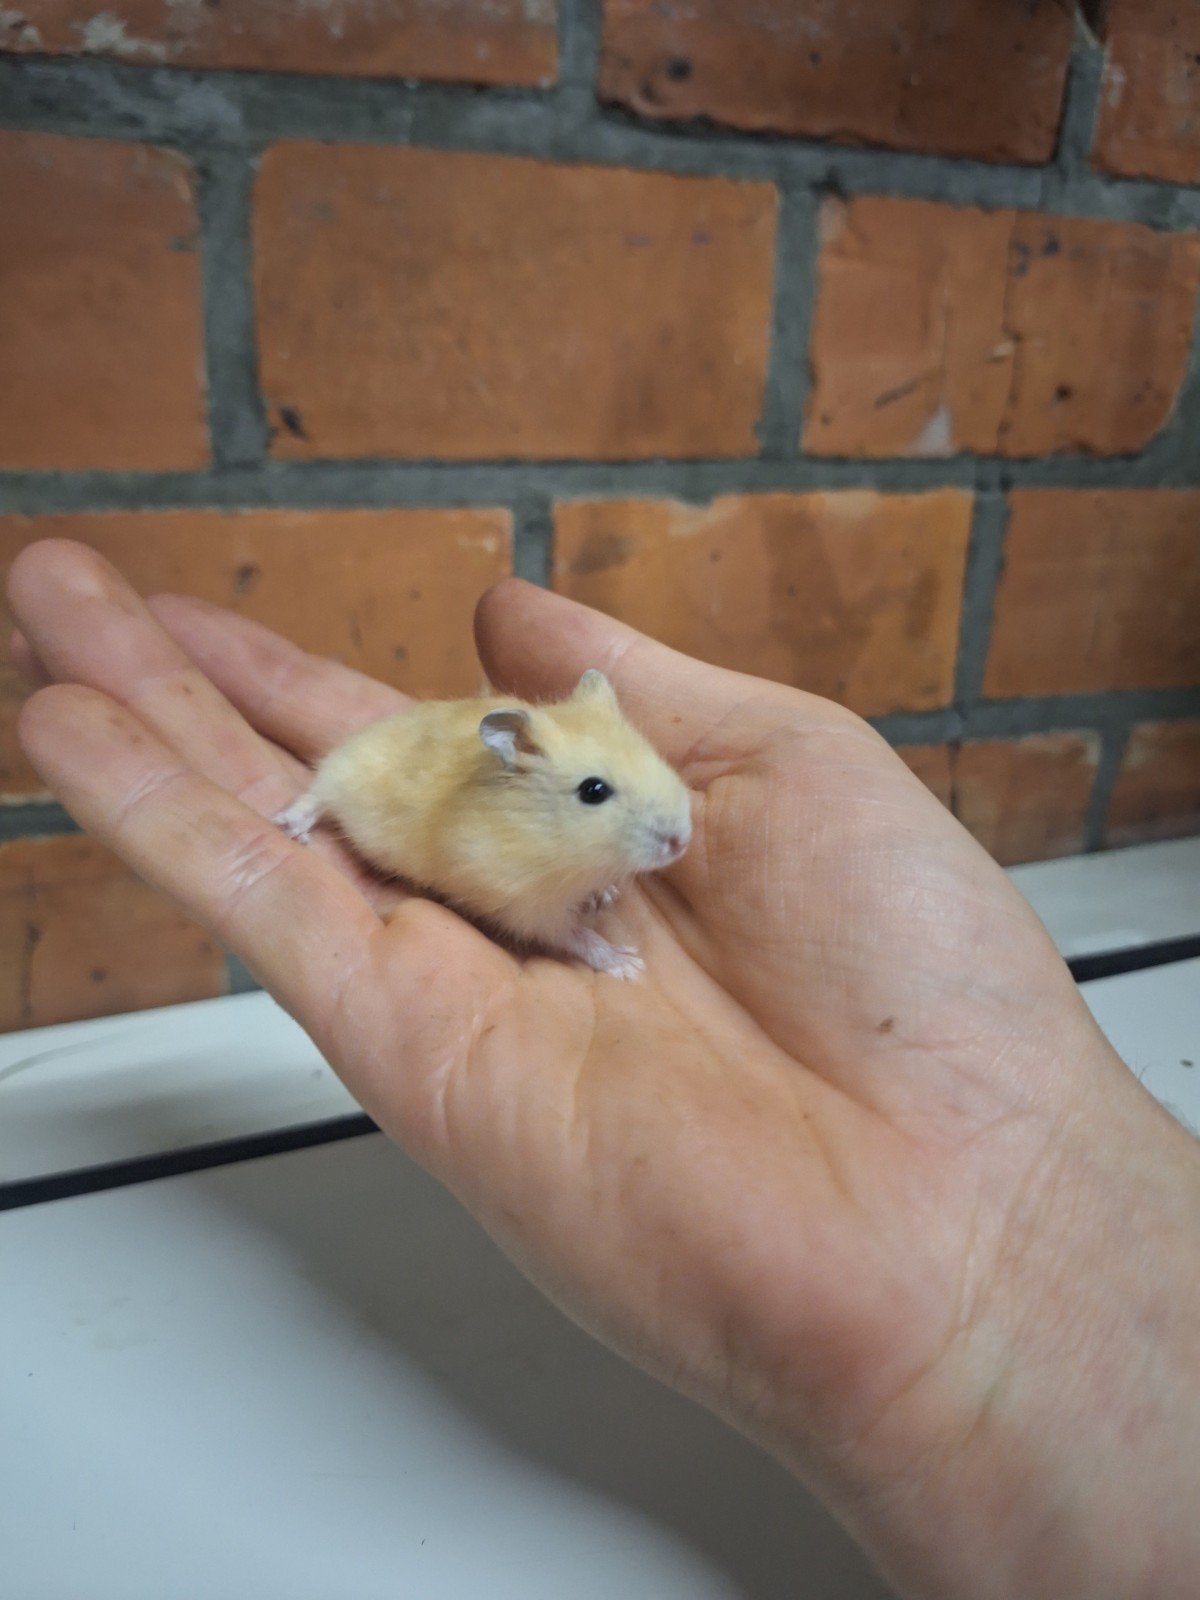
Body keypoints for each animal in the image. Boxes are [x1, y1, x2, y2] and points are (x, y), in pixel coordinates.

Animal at [272, 669, 692, 979]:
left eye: (653, 756)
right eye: (593, 791)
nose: (681, 842)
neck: (557, 845)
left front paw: (604, 894)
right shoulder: (528, 908)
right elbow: (576, 935)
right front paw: (628, 964)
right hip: (344, 773)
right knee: (316, 795)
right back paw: (289, 828)